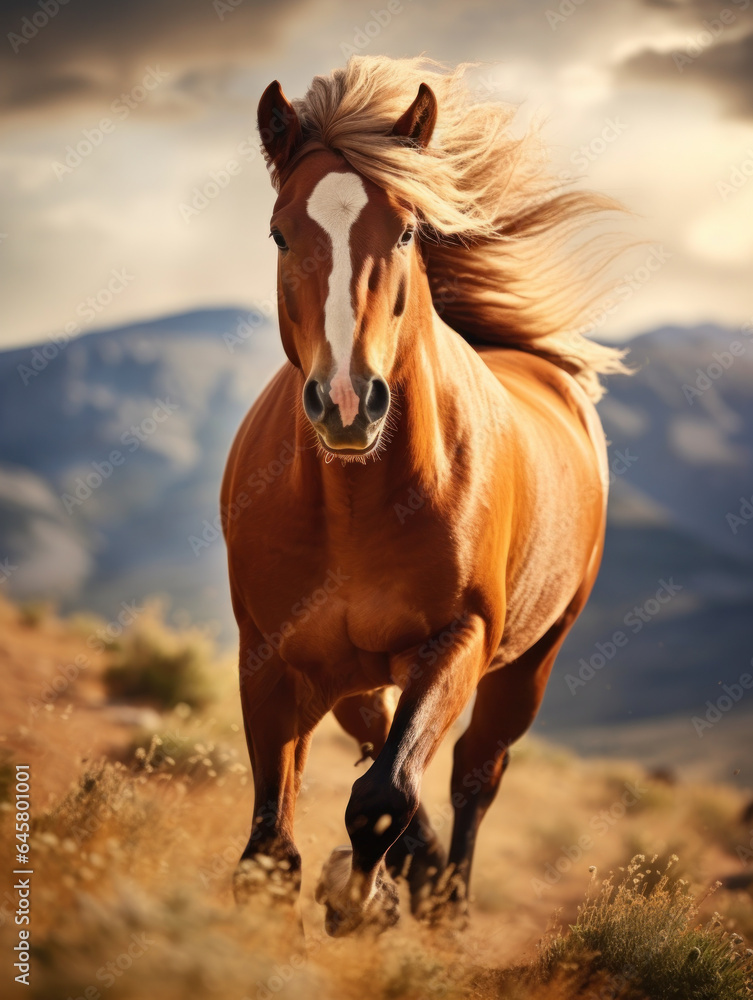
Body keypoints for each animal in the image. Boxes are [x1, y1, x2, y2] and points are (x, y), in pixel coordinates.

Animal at [221, 55, 629, 937]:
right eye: (279, 232)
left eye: (406, 231)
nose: (348, 403)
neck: (354, 504)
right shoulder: (269, 654)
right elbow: (271, 845)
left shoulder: (457, 639)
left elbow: (383, 795)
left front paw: (359, 900)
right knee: (380, 735)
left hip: (527, 662)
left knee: (475, 771)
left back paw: (446, 900)